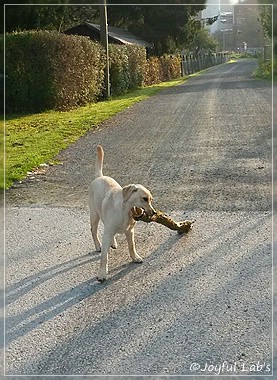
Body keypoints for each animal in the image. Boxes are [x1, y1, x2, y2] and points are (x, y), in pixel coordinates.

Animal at [88, 145, 154, 282]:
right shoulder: (108, 232)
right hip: (94, 215)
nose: (154, 212)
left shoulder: (130, 231)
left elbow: (131, 246)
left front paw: (135, 257)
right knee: (94, 231)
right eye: (144, 199)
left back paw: (113, 243)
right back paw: (98, 245)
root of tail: (99, 176)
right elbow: (104, 257)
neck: (126, 212)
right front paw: (102, 273)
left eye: (151, 199)